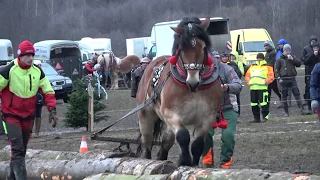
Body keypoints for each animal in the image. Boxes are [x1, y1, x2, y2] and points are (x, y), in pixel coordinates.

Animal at [137, 17, 222, 166]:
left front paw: (191, 163)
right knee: (147, 143)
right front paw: (185, 161)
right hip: (146, 116)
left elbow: (197, 145)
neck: (193, 90)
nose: (193, 81)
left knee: (166, 144)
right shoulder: (171, 114)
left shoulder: (207, 117)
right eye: (181, 48)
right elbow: (183, 136)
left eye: (203, 47)